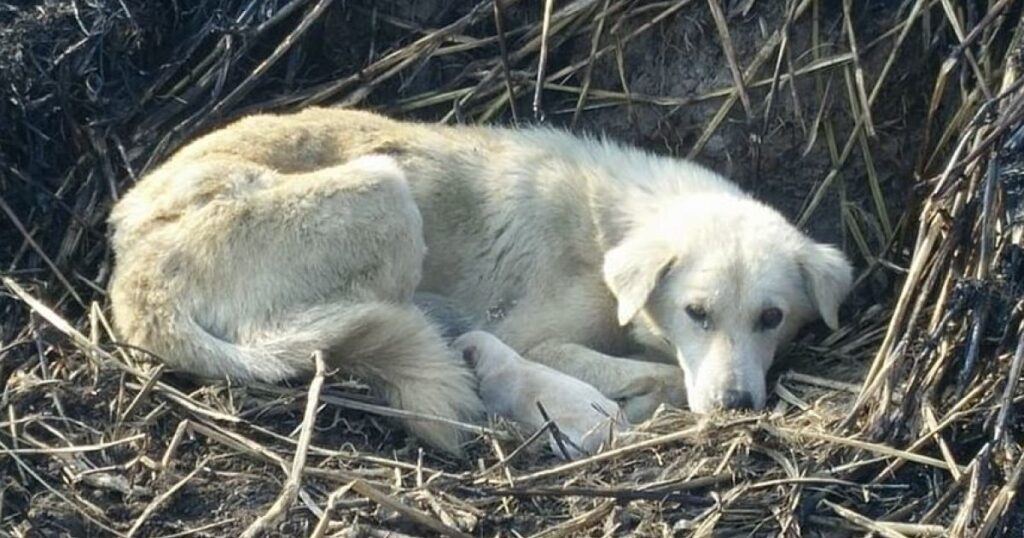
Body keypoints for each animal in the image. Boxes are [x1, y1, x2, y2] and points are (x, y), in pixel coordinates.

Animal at [108, 108, 851, 452]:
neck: (609, 224)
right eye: (697, 312)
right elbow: (652, 372)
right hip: (386, 190)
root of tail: (132, 276)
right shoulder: (533, 337)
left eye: (771, 318)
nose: (736, 408)